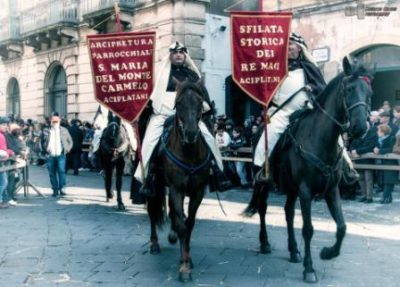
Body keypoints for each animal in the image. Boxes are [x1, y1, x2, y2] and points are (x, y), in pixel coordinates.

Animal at [146, 82, 209, 282]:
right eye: (179, 103)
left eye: (200, 102)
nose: (191, 133)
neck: (188, 152)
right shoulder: (176, 189)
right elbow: (182, 226)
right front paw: (184, 268)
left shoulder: (197, 191)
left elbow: (189, 224)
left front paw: (187, 259)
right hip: (154, 187)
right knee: (153, 211)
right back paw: (154, 244)